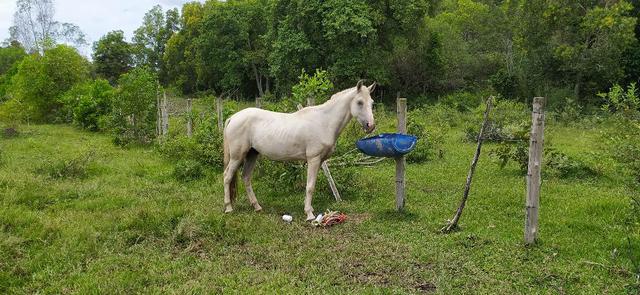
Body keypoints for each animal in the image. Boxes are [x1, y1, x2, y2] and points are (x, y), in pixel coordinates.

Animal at [224, 80, 376, 221]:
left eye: (372, 103)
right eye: (360, 102)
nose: (371, 126)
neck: (324, 122)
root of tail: (233, 118)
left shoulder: (319, 161)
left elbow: (311, 185)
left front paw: (310, 209)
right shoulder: (313, 159)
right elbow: (310, 186)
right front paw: (309, 214)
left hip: (252, 154)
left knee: (246, 177)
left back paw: (257, 206)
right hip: (237, 157)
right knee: (227, 177)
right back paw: (229, 208)